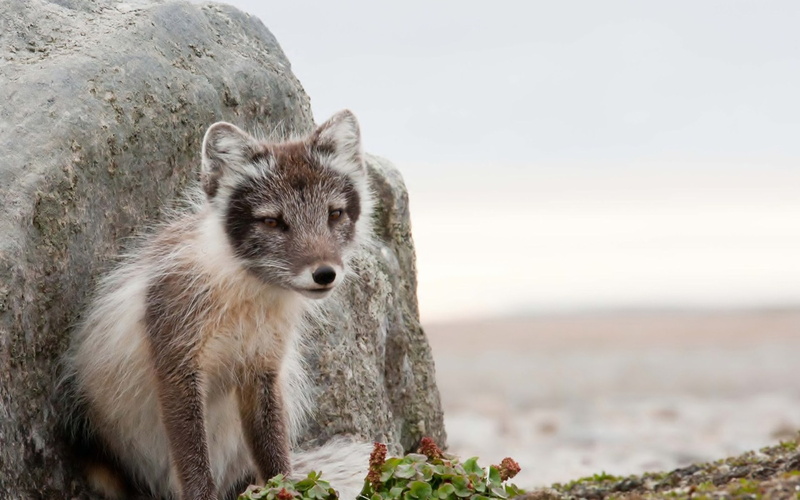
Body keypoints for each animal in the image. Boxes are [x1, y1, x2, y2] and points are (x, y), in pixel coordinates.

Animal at [59, 110, 374, 500]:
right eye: (272, 221)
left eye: (334, 214)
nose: (325, 273)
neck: (244, 298)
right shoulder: (177, 365)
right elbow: (194, 462)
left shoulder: (262, 369)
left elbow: (275, 456)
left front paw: (285, 490)